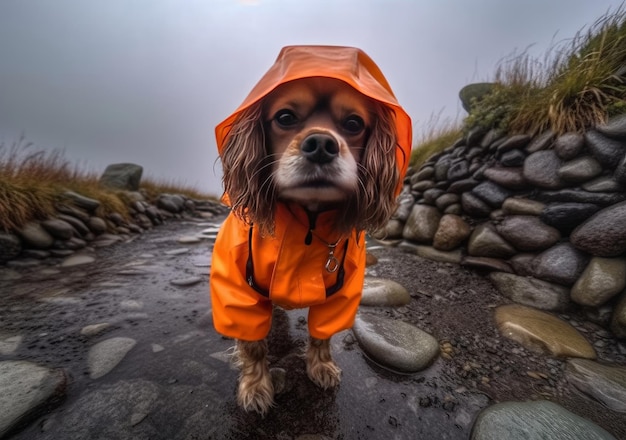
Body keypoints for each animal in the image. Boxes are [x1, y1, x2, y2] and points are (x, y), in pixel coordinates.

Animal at [210, 45, 412, 416]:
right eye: (285, 117)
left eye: (353, 124)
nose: (321, 144)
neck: (307, 218)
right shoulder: (235, 287)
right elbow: (253, 345)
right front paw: (256, 387)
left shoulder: (343, 292)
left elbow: (322, 335)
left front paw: (321, 367)